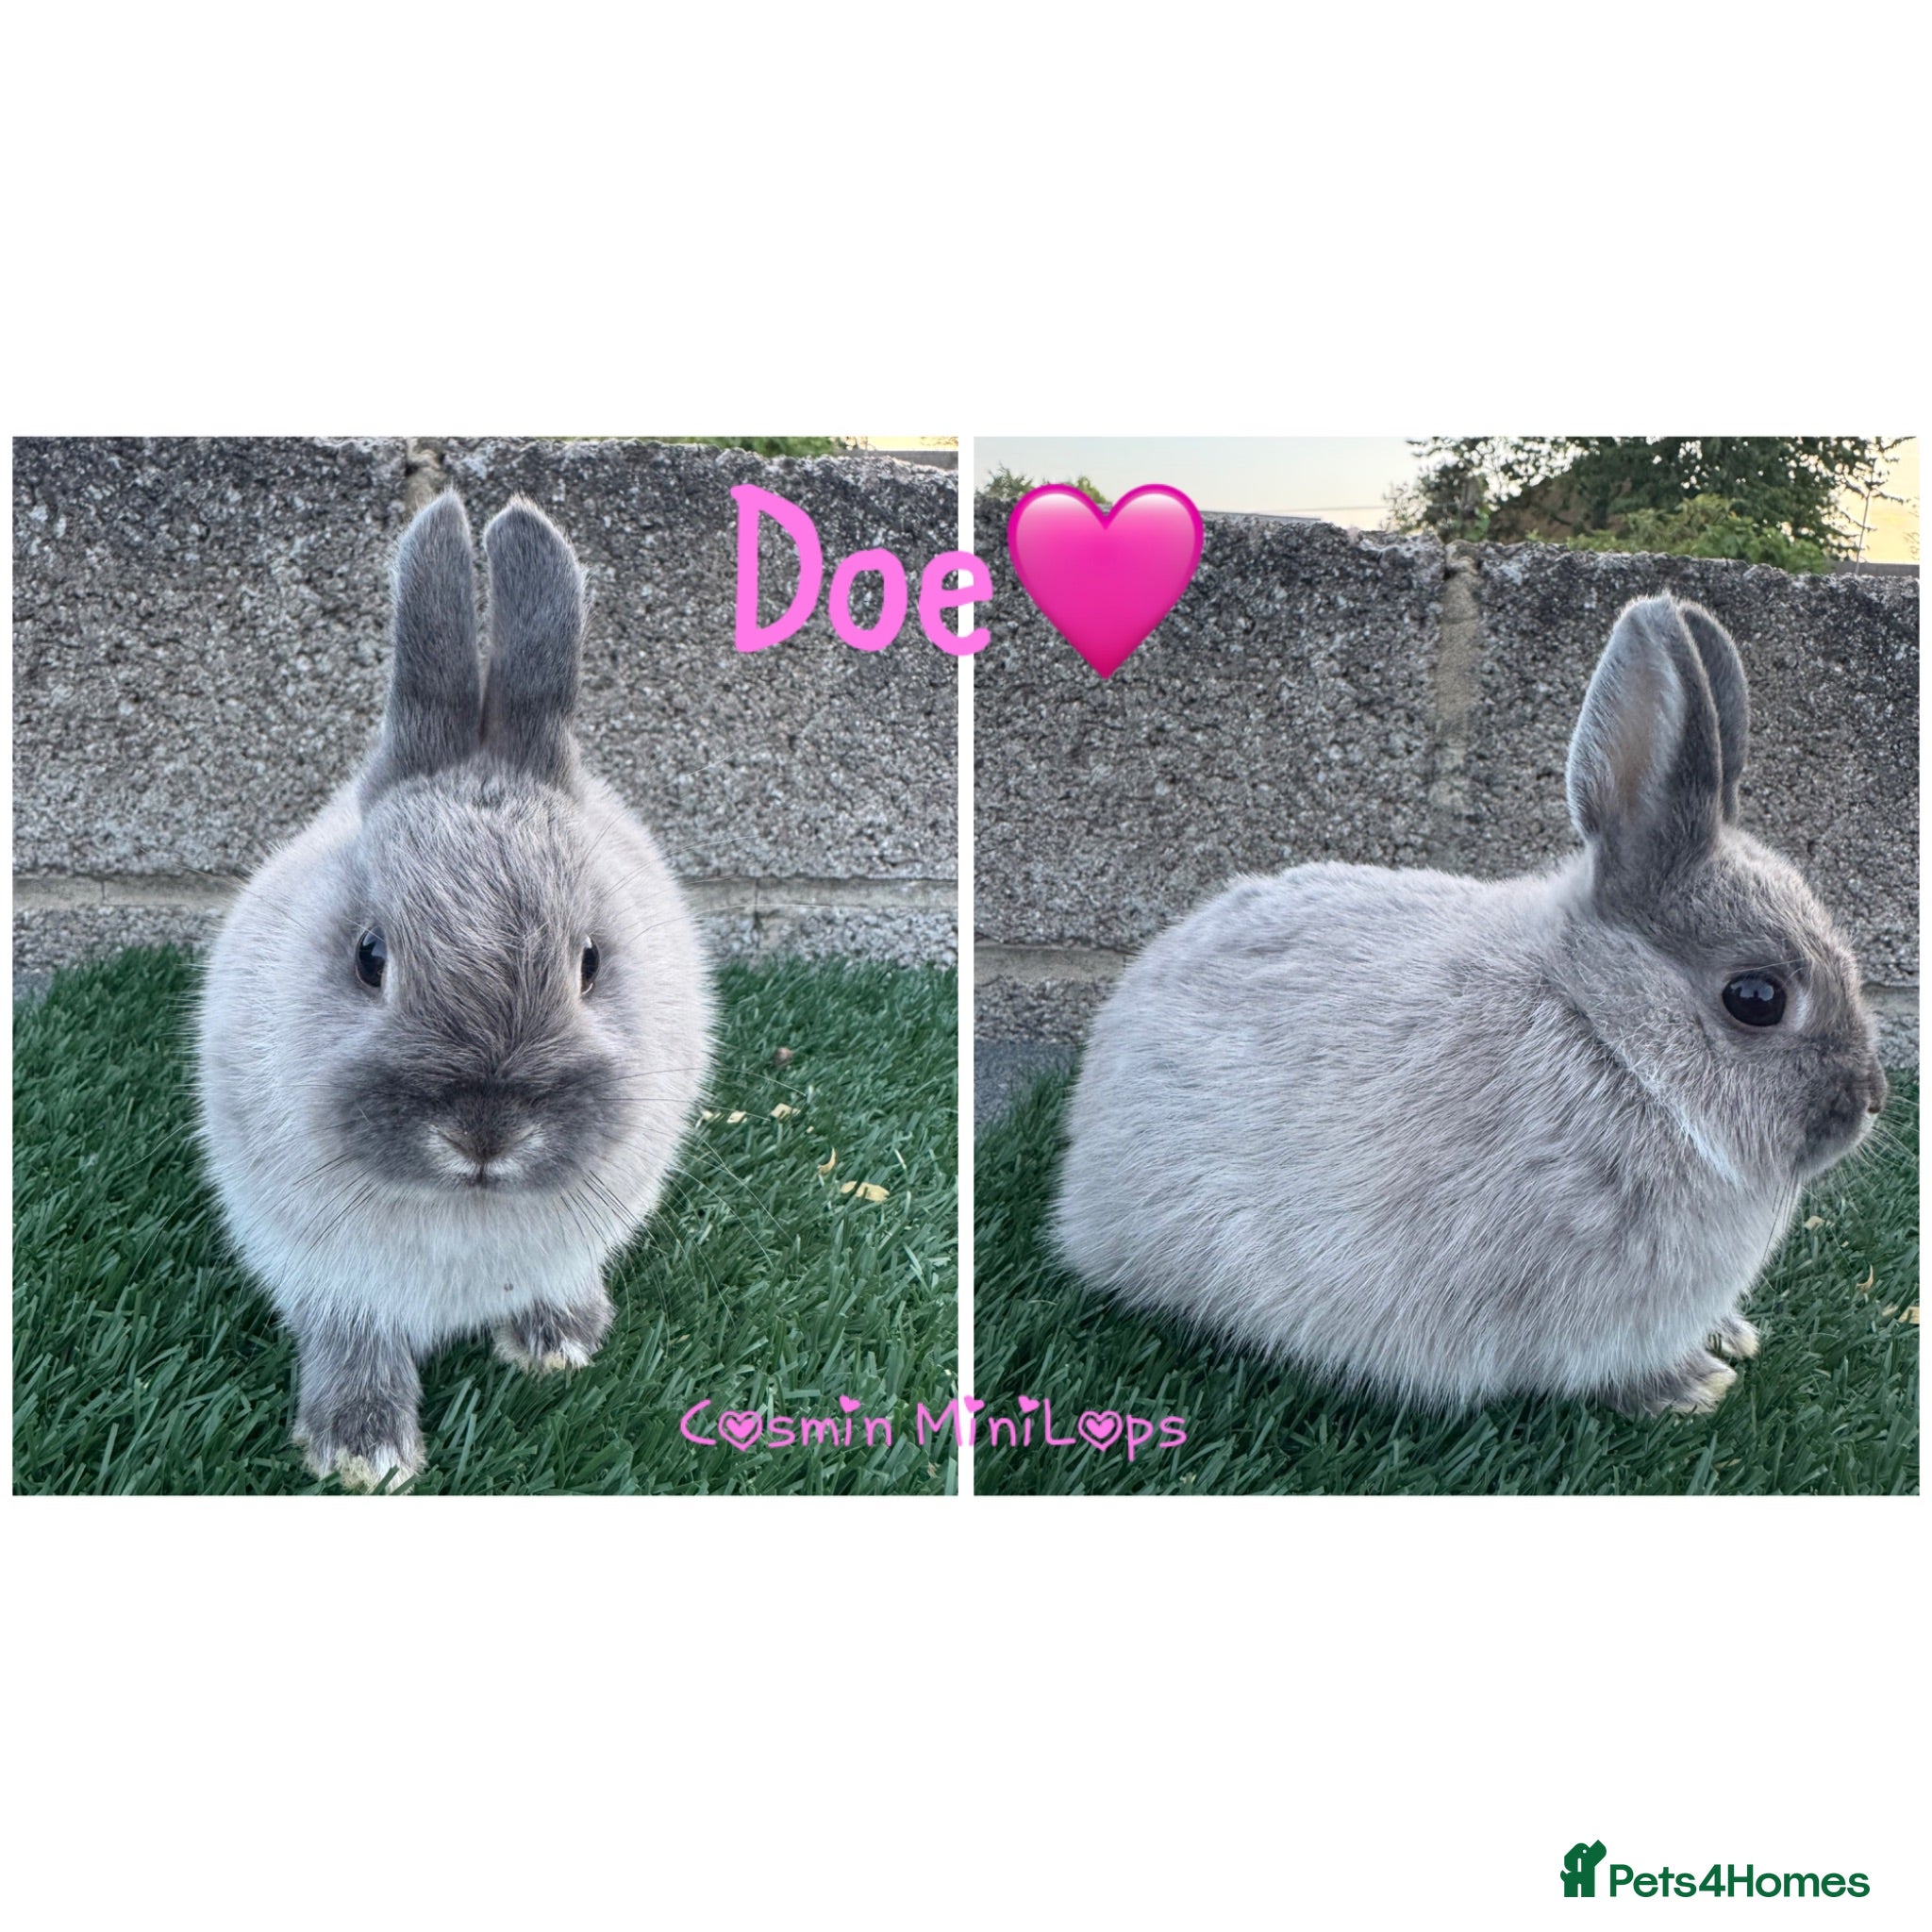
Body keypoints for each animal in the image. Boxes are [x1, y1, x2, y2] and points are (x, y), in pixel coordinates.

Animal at [197, 492, 713, 1488]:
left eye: (592, 963)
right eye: (369, 956)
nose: (484, 1134)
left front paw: (560, 1347)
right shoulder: (321, 1268)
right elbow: (353, 1337)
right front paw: (363, 1451)